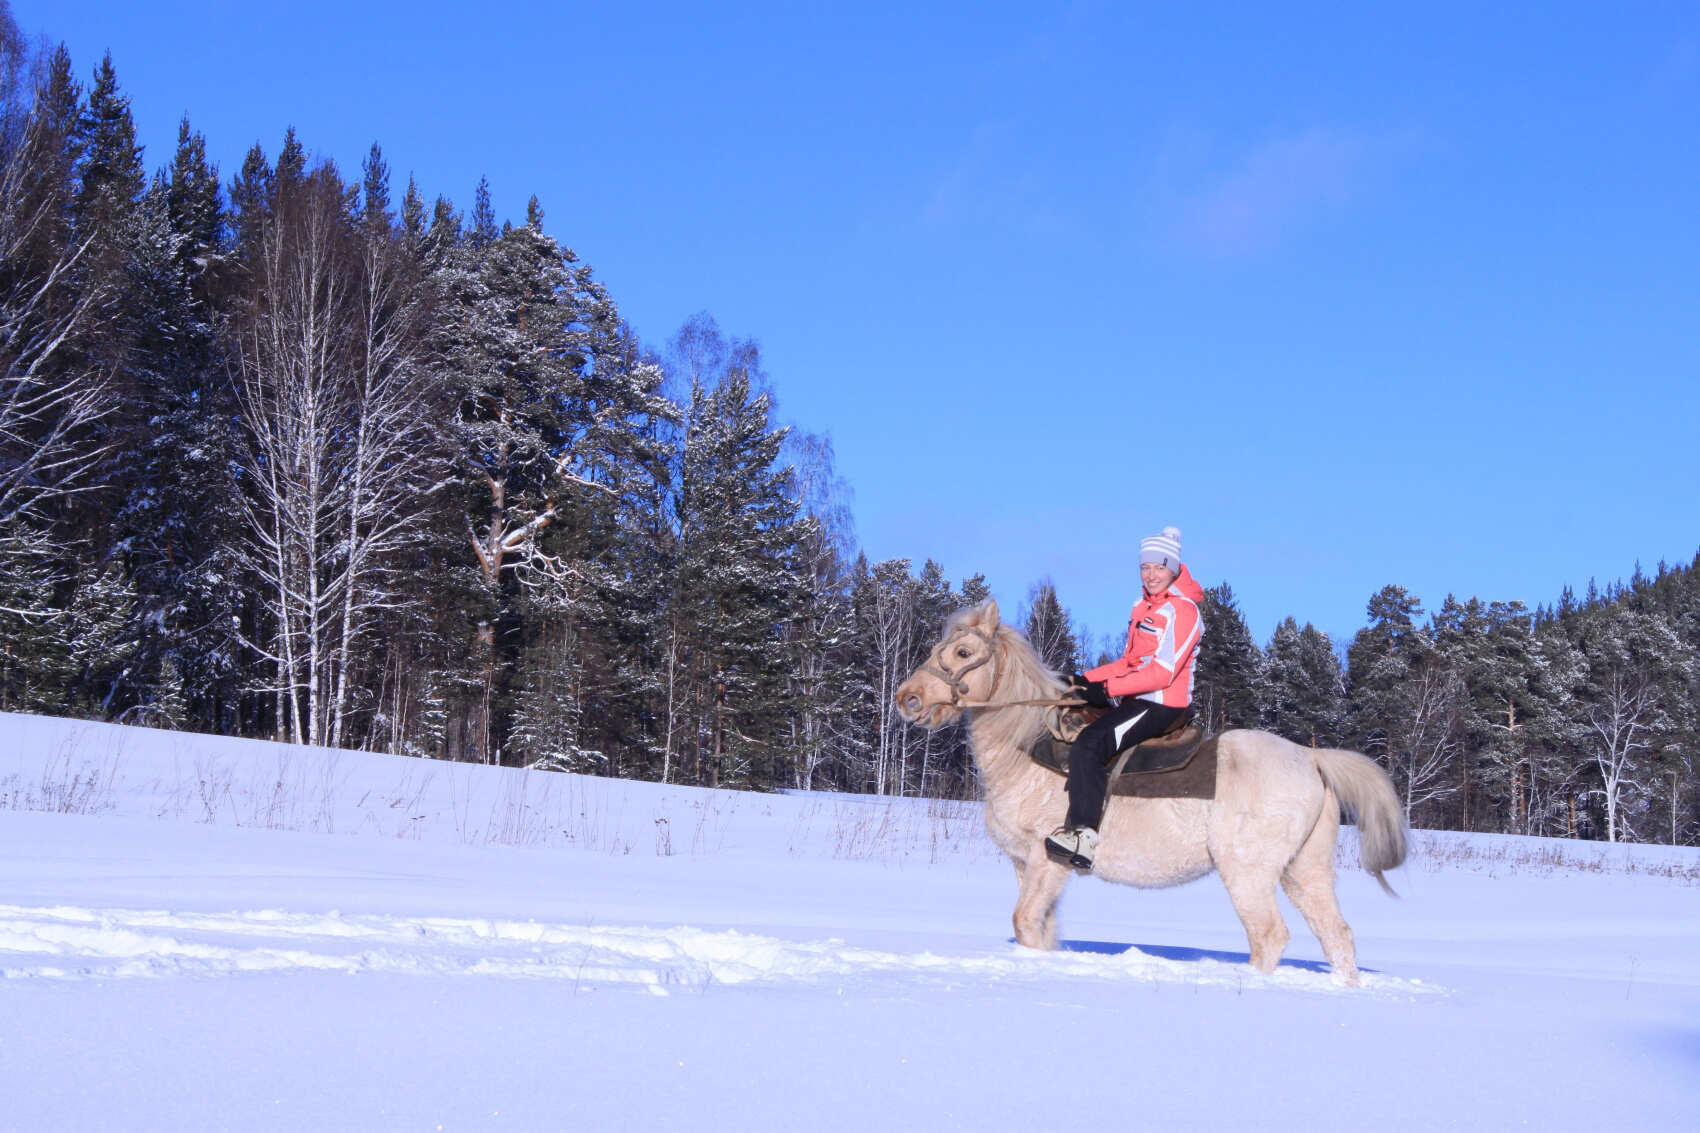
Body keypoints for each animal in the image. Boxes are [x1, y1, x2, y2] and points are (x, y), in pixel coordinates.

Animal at [890, 598, 1407, 979]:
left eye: (961, 653)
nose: (906, 698)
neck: (1027, 748)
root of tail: (1312, 758)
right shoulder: (1027, 865)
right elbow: (1040, 931)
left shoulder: (1045, 860)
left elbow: (1025, 922)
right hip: (1304, 872)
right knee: (1337, 936)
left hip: (1249, 873)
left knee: (1269, 936)